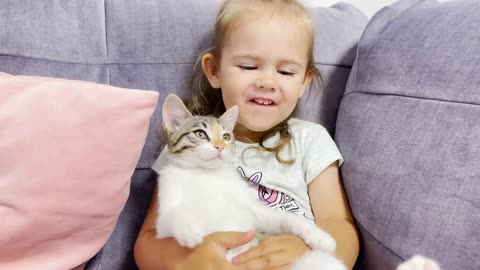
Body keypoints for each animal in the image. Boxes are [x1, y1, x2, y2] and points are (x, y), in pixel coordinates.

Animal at [156, 93, 440, 270]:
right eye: (200, 134)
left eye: (226, 136)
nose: (219, 146)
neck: (208, 175)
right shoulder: (164, 218)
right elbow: (173, 215)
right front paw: (189, 229)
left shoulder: (256, 211)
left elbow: (288, 218)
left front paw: (321, 238)